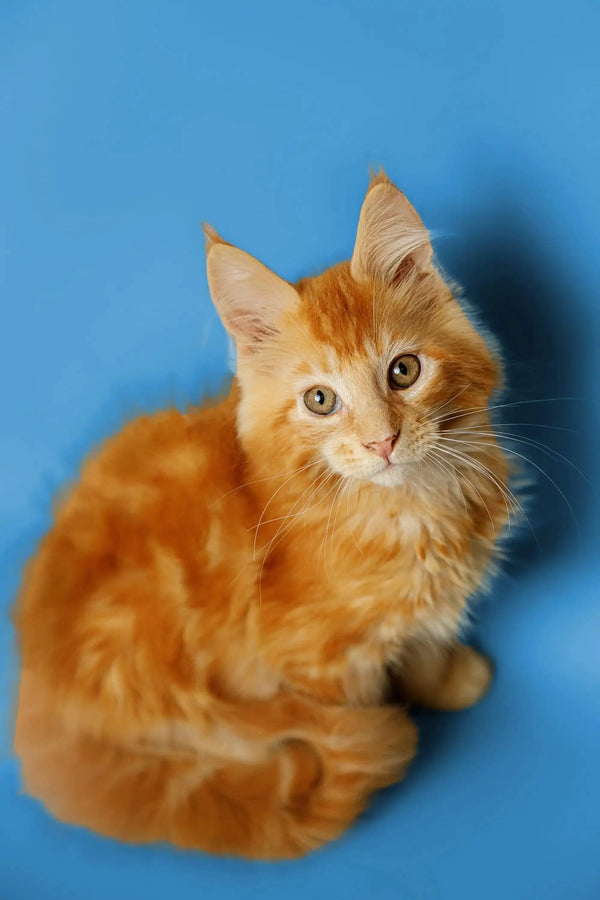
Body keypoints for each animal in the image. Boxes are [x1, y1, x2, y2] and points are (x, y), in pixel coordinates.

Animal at [14, 174, 508, 856]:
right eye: (321, 400)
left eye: (403, 371)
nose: (382, 441)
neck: (408, 508)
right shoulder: (316, 657)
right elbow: (358, 702)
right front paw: (389, 732)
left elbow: (427, 639)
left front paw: (450, 680)